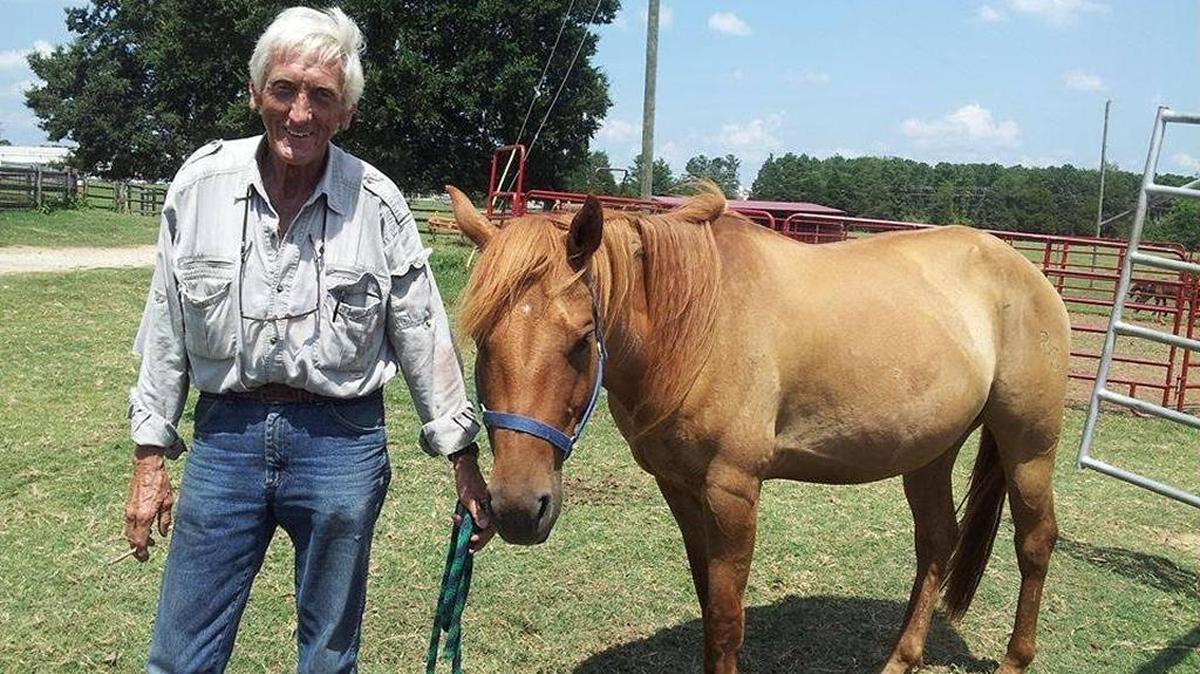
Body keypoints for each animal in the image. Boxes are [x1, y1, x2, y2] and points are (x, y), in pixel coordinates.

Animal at [447, 182, 1069, 674]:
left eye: (581, 341)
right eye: (481, 339)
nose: (518, 509)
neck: (700, 325)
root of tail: (1026, 272)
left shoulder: (733, 491)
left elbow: (727, 620)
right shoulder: (680, 488)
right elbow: (708, 603)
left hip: (1028, 448)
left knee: (1035, 542)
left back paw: (1015, 659)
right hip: (929, 452)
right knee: (938, 540)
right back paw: (900, 659)